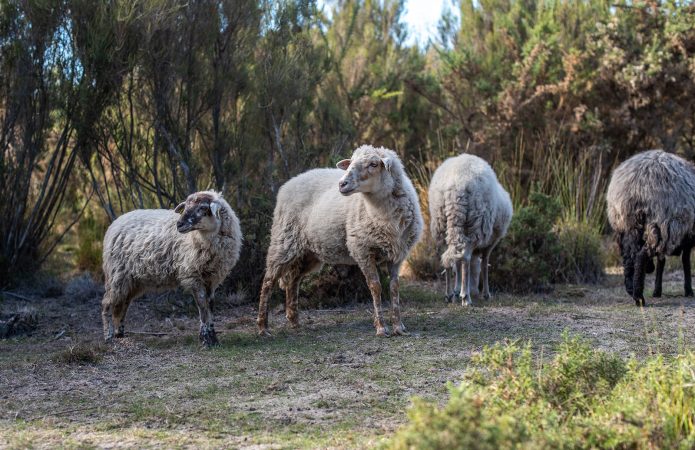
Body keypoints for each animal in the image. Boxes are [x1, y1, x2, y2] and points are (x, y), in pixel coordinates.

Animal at [100, 192, 242, 346]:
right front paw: (206, 339)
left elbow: (210, 305)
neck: (204, 237)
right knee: (107, 304)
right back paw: (108, 336)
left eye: (203, 207)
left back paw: (119, 333)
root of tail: (115, 223)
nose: (179, 224)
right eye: (185, 206)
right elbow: (202, 306)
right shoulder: (193, 275)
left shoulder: (212, 278)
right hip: (116, 275)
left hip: (132, 281)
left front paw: (213, 338)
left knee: (122, 305)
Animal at [426, 154, 512, 306]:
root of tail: (456, 185)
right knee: (465, 256)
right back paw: (466, 298)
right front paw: (485, 294)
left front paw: (456, 290)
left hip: (441, 222)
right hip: (477, 222)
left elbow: (457, 263)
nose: (475, 290)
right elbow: (484, 264)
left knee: (449, 256)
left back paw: (448, 294)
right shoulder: (492, 242)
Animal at [608, 150, 695, 306]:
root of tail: (634, 187)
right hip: (660, 223)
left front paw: (657, 291)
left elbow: (663, 261)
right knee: (641, 256)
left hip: (626, 226)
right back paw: (639, 297)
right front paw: (689, 290)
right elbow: (685, 261)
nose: (650, 269)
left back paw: (631, 290)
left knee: (629, 258)